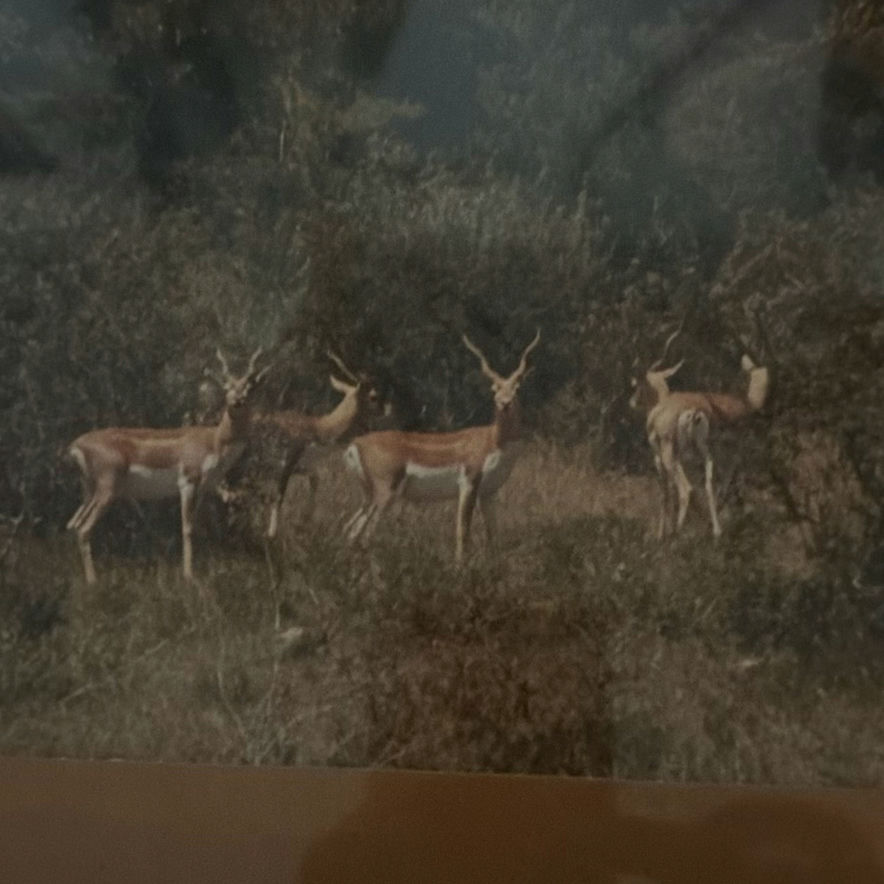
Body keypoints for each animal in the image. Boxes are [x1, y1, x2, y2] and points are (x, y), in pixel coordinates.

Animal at [66, 347, 270, 584]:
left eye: (250, 386)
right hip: (107, 490)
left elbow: (194, 527)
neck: (215, 440)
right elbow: (187, 529)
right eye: (226, 385)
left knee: (73, 524)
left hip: (90, 491)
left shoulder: (204, 489)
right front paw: (189, 576)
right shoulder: (188, 483)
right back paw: (93, 581)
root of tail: (77, 444)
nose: (237, 401)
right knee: (83, 528)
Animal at [342, 330, 540, 564]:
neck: (492, 440)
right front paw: (460, 566)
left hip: (369, 496)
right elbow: (463, 531)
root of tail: (357, 443)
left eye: (517, 388)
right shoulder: (468, 483)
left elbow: (492, 534)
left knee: (352, 531)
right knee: (366, 533)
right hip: (385, 493)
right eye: (494, 389)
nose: (505, 403)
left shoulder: (489, 493)